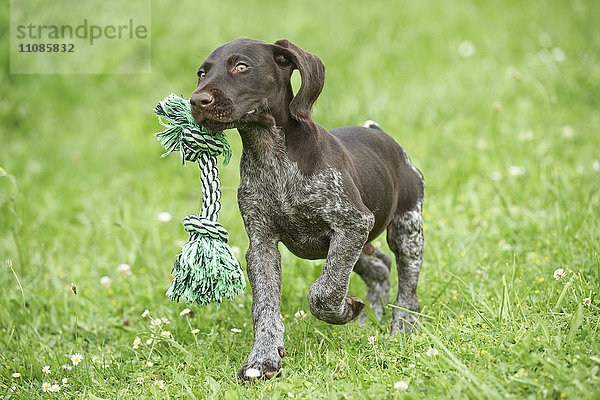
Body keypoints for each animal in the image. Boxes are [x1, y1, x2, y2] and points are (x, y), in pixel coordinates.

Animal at [190, 39, 424, 380]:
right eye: (202, 73)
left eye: (241, 66)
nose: (197, 101)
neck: (271, 154)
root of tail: (382, 134)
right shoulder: (262, 246)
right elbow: (265, 307)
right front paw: (263, 359)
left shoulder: (353, 223)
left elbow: (323, 293)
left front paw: (345, 309)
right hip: (353, 244)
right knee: (379, 267)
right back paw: (369, 318)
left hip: (405, 230)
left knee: (407, 285)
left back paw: (402, 327)